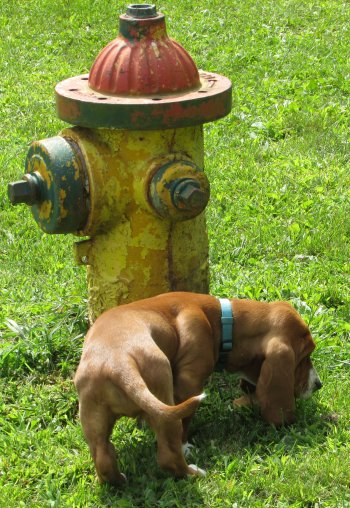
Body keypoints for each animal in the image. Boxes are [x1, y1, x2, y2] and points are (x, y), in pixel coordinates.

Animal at [74, 290, 320, 484]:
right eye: (305, 357)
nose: (318, 385)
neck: (224, 320)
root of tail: (119, 364)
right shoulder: (189, 382)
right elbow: (186, 421)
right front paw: (186, 445)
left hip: (93, 416)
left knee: (103, 458)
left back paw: (118, 481)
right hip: (164, 391)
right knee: (168, 454)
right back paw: (193, 472)